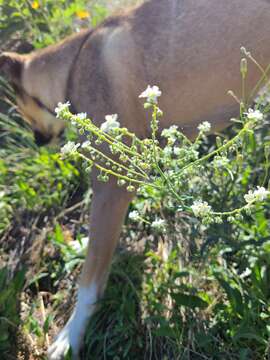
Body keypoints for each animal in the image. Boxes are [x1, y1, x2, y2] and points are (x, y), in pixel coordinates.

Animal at [0, 0, 270, 358]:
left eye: (20, 108)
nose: (36, 141)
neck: (73, 64)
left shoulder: (109, 192)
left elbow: (89, 282)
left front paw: (71, 335)